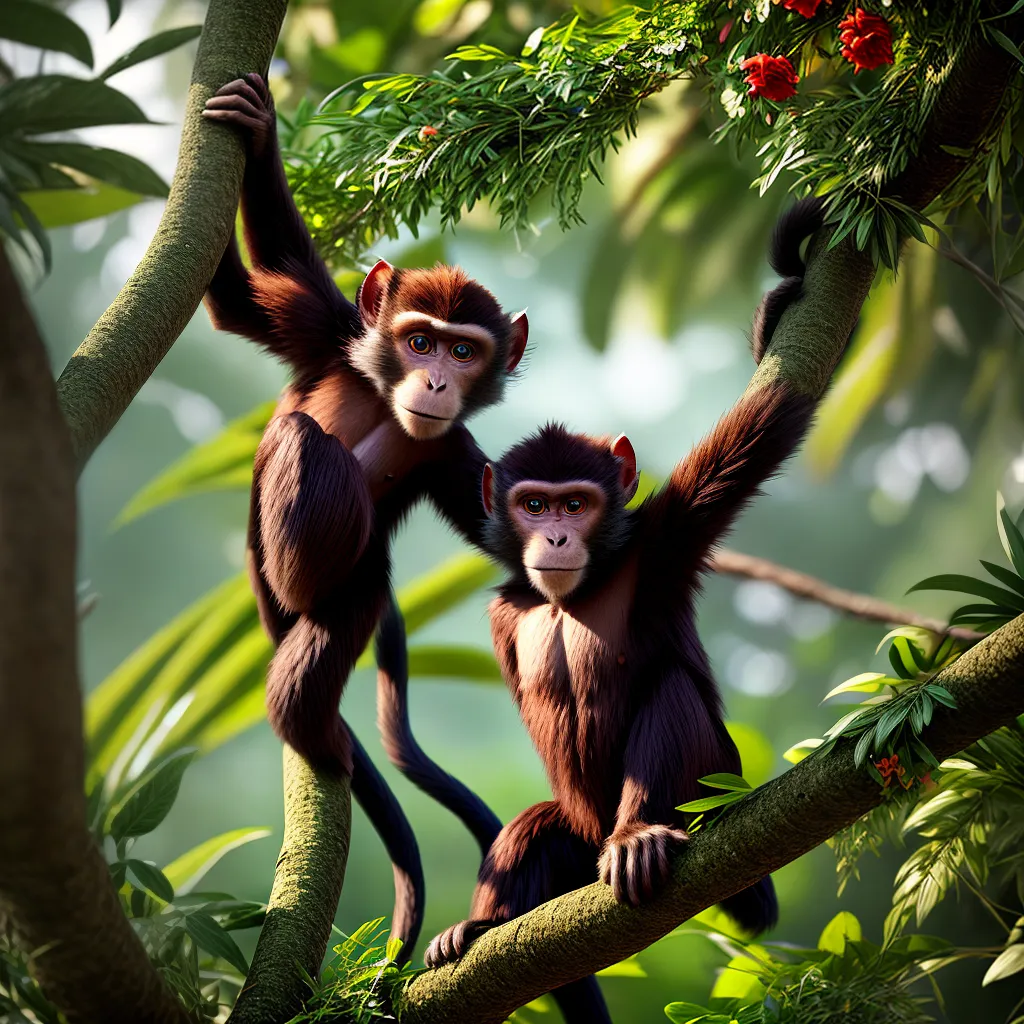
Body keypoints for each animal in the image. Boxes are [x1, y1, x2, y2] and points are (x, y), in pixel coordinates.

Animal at [201, 74, 526, 960]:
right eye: (419, 340)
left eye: (463, 351)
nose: (437, 381)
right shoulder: (327, 330)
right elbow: (252, 293)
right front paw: (256, 128)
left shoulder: (456, 459)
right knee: (301, 434)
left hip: (343, 598)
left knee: (306, 677)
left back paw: (324, 740)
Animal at [422, 201, 829, 1022]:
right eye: (534, 503)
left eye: (576, 503)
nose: (554, 533)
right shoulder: (507, 601)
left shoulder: (665, 536)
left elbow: (766, 423)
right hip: (578, 838)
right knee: (535, 829)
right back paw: (482, 924)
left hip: (712, 795)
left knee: (670, 697)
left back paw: (640, 834)